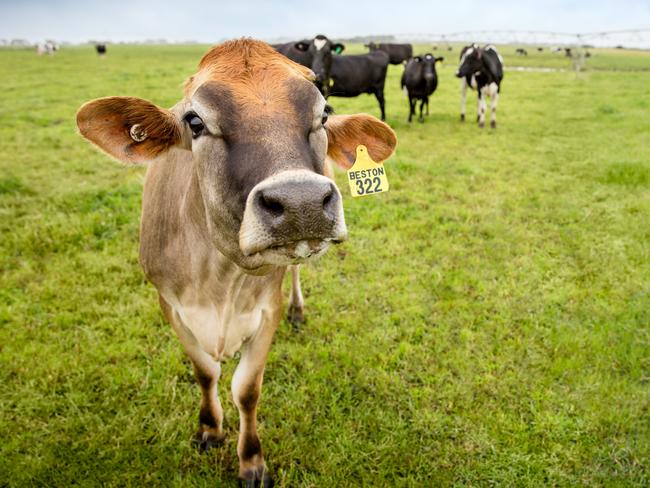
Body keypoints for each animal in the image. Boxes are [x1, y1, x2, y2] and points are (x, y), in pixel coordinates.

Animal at [78, 40, 398, 486]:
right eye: (195, 121)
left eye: (323, 114)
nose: (300, 202)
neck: (221, 280)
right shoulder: (170, 305)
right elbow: (205, 372)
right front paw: (210, 430)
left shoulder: (266, 311)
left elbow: (247, 390)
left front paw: (252, 461)